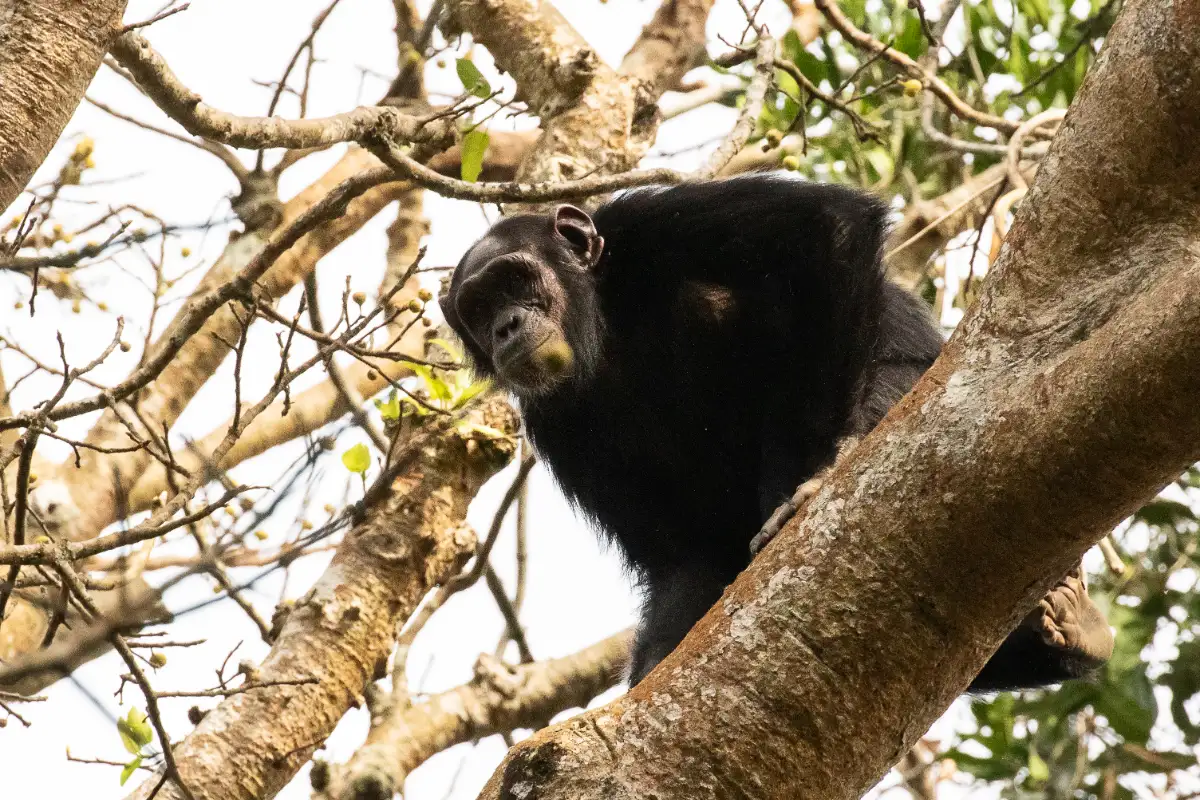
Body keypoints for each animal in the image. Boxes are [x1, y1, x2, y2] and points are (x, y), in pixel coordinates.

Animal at [441, 174, 1114, 689]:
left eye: (516, 280)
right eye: (477, 306)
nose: (505, 325)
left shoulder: (652, 227)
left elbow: (817, 228)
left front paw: (815, 477)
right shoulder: (556, 428)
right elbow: (679, 553)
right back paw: (1067, 633)